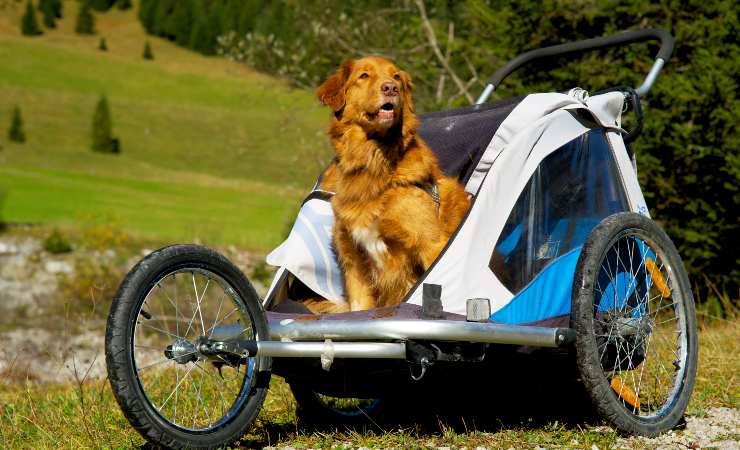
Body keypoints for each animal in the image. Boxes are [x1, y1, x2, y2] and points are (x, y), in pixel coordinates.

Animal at [306, 56, 468, 312]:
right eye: (364, 75)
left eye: (396, 77)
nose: (390, 88)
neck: (374, 162)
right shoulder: (354, 260)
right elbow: (359, 308)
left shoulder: (432, 245)